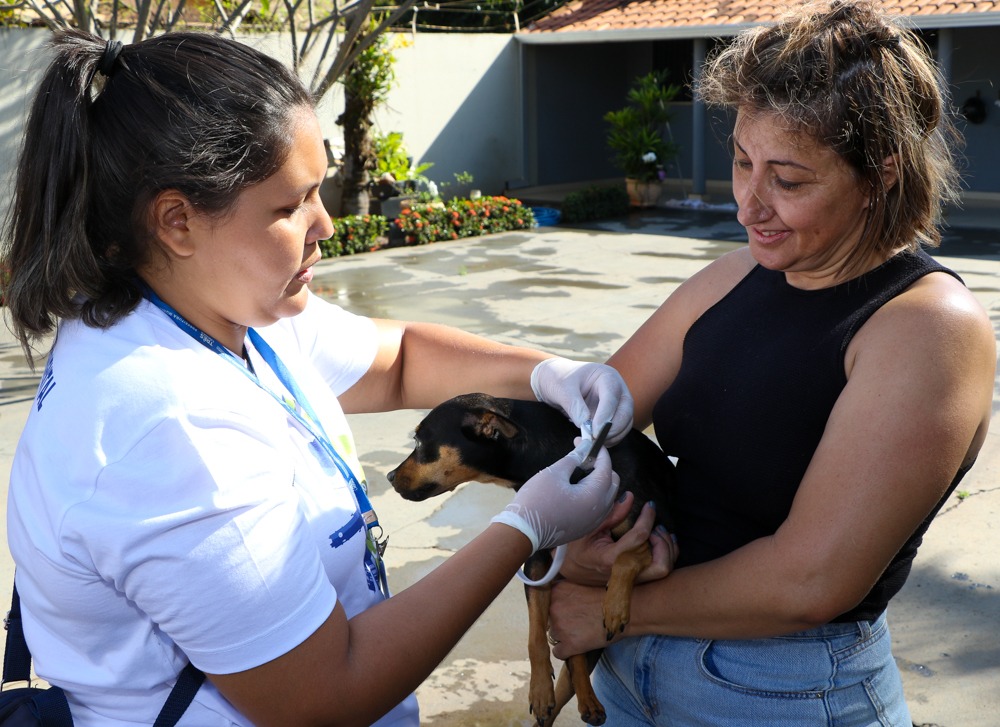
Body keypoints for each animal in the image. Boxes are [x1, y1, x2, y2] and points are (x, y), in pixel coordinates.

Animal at [386, 396, 676, 724]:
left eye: (421, 441)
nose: (390, 477)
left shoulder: (659, 530)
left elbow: (628, 553)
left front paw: (614, 607)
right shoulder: (537, 563)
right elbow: (535, 636)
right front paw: (539, 690)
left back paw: (589, 700)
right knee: (569, 668)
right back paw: (582, 704)